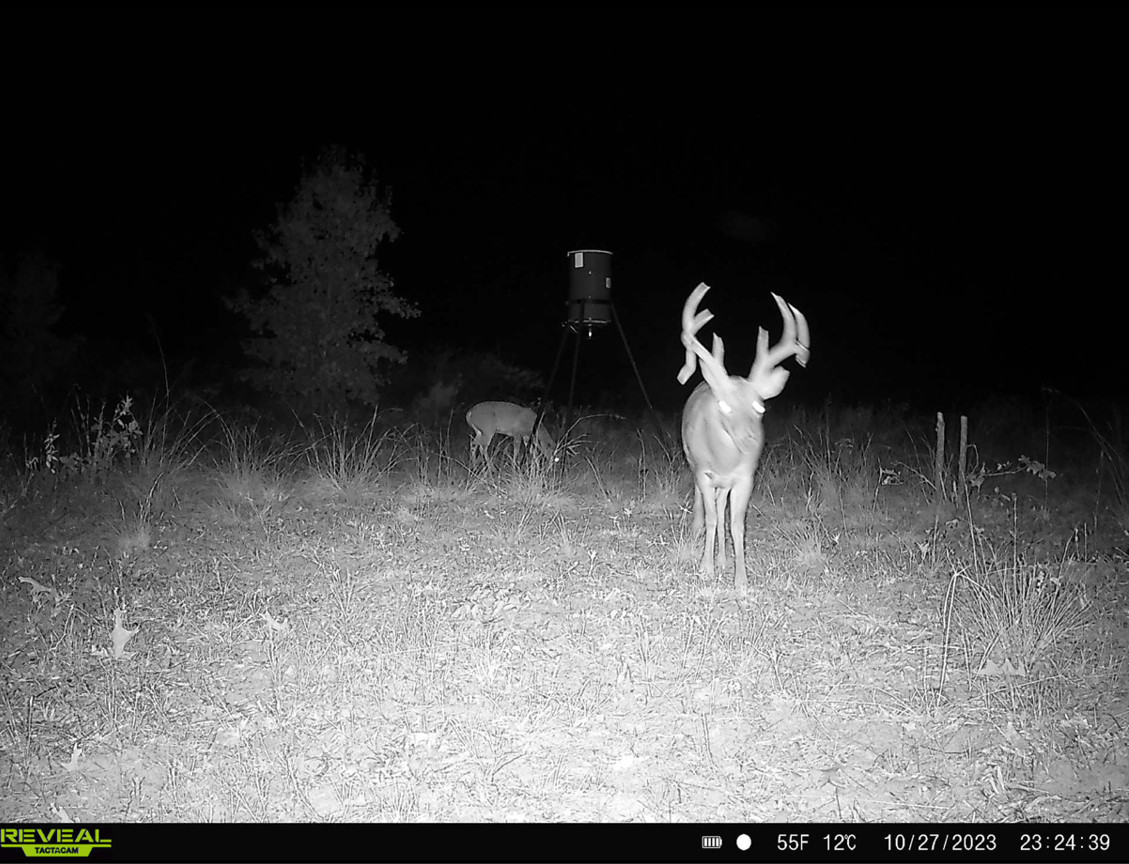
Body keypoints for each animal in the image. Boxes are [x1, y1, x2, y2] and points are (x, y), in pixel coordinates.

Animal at [677, 283, 810, 590]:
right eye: (724, 406)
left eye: (759, 406)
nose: (751, 441)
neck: (724, 459)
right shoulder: (704, 472)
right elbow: (712, 519)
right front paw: (706, 568)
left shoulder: (745, 477)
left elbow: (736, 524)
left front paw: (740, 579)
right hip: (693, 464)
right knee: (705, 505)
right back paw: (697, 533)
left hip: (726, 483)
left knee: (721, 505)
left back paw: (723, 559)